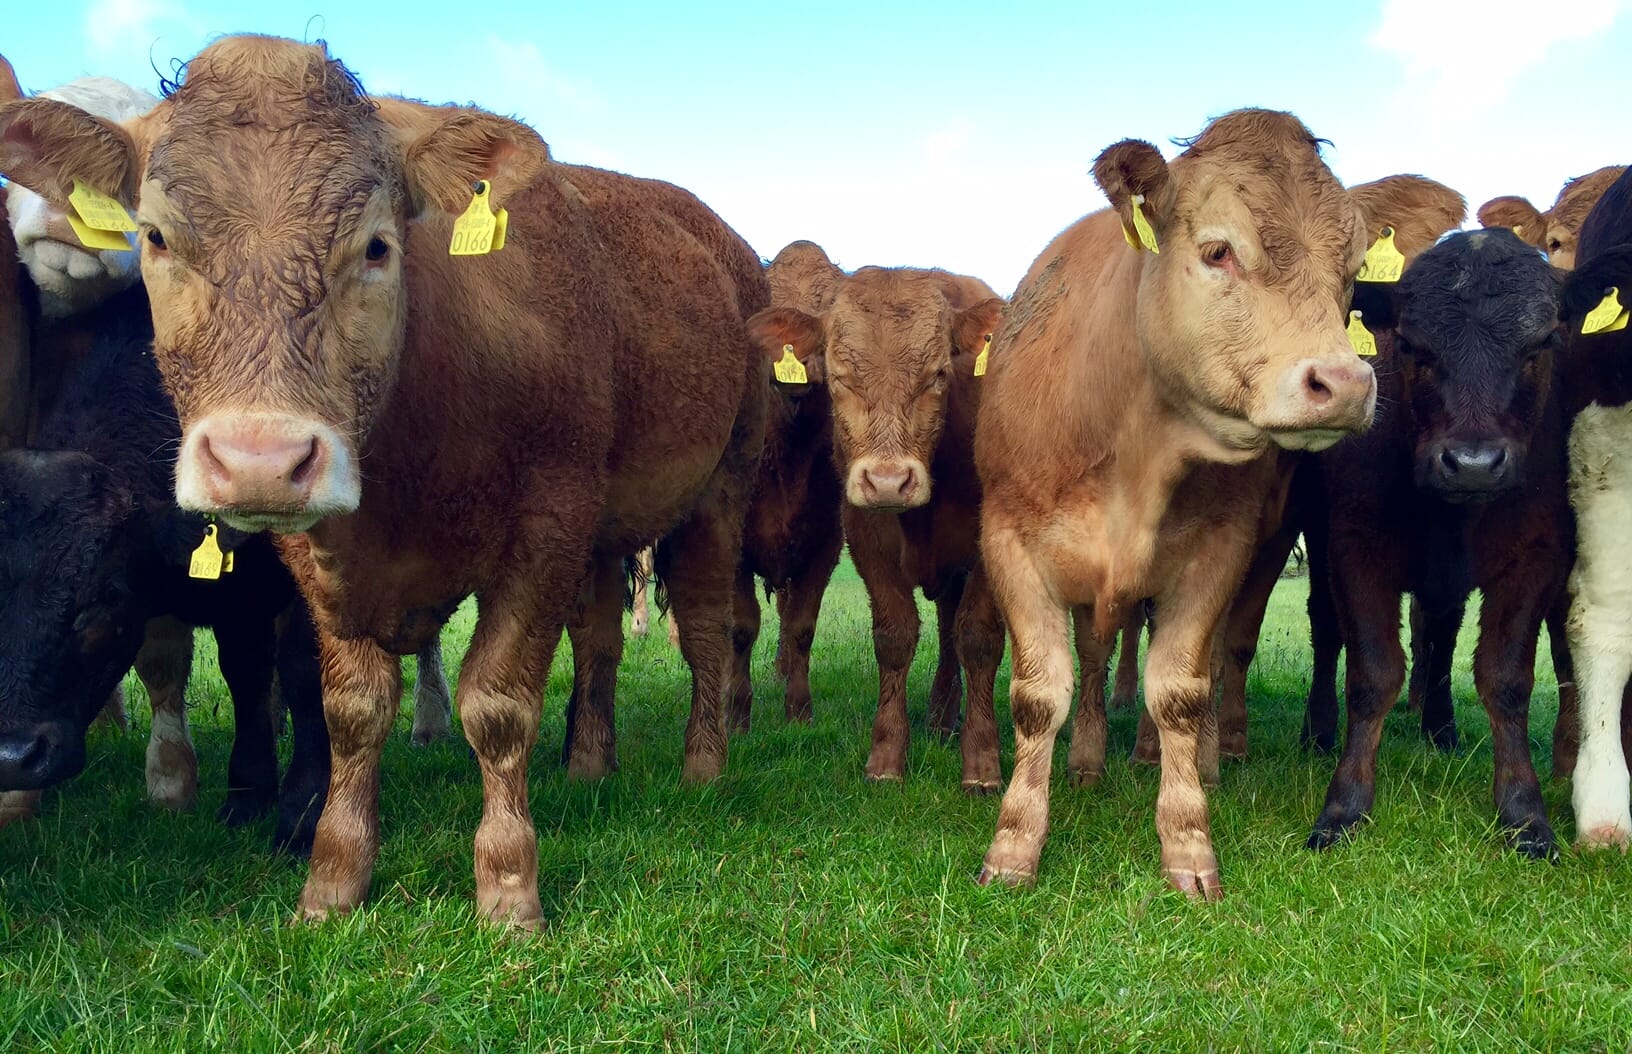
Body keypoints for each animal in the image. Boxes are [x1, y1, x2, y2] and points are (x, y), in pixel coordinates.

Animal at [0, 282, 330, 853]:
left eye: (106, 597)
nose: (15, 756)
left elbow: (305, 676)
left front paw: (302, 817)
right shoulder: (238, 596)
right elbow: (245, 675)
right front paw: (247, 796)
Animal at [747, 265, 1007, 790]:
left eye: (939, 374)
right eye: (839, 376)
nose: (889, 481)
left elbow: (977, 638)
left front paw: (981, 762)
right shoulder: (865, 536)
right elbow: (894, 636)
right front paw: (886, 757)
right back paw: (939, 718)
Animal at [973, 109, 1377, 897]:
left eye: (1352, 273)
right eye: (1218, 251)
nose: (1343, 383)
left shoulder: (1220, 550)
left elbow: (1182, 689)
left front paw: (1188, 843)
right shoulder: (1009, 542)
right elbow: (1039, 695)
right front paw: (1013, 845)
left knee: (1217, 659)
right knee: (1096, 657)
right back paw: (1091, 761)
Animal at [1306, 228, 1577, 858]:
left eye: (1541, 343)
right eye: (1410, 345)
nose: (1473, 464)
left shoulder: (1538, 555)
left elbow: (1506, 679)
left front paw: (1525, 813)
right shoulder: (1353, 547)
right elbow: (1371, 675)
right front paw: (1345, 805)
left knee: (1442, 632)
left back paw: (1442, 727)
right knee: (1326, 630)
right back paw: (1319, 732)